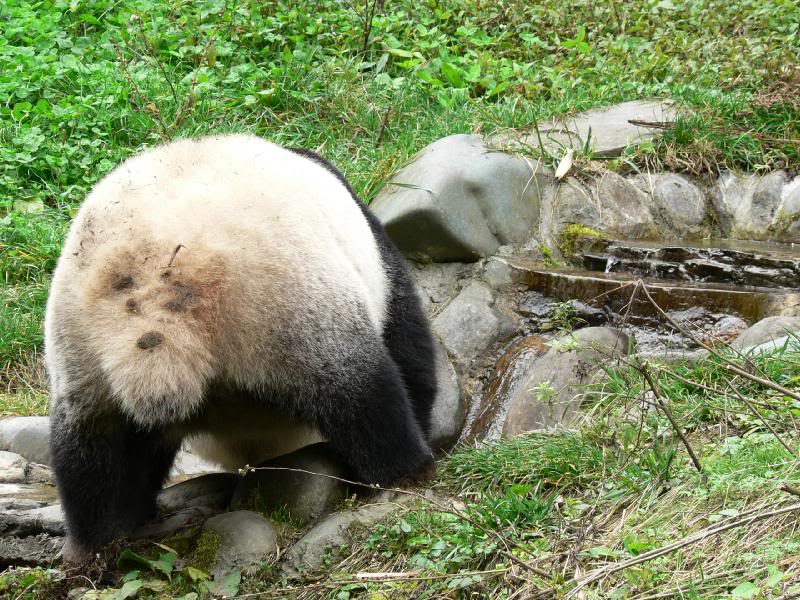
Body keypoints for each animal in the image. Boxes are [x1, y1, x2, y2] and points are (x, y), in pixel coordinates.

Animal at [44, 134, 437, 562]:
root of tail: (157, 295)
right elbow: (409, 350)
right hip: (289, 301)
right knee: (359, 393)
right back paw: (405, 473)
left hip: (80, 341)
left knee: (94, 448)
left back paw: (100, 541)